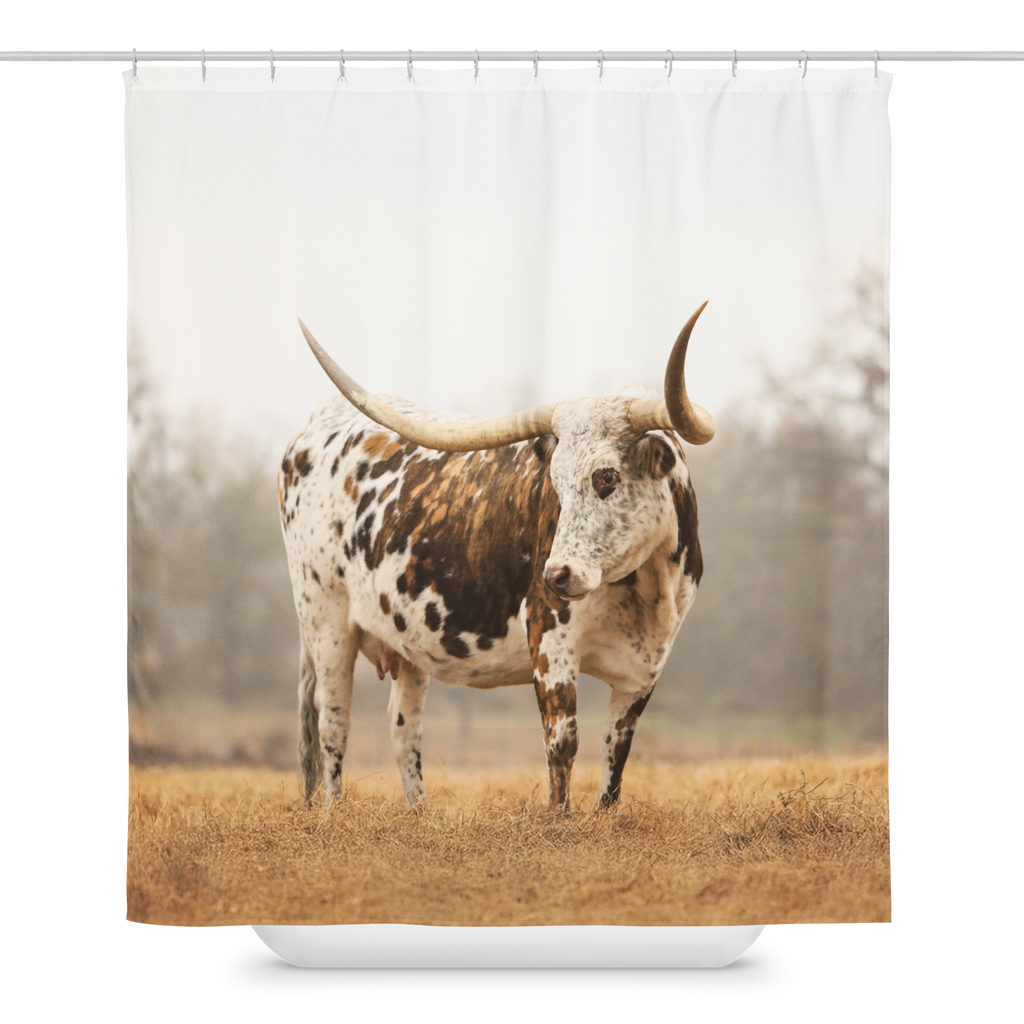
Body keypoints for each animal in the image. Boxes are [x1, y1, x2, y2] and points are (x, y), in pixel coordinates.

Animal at [279, 304, 714, 813]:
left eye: (606, 476)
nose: (556, 574)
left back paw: (419, 814)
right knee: (333, 721)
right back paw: (333, 811)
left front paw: (603, 818)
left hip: (405, 636)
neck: (646, 586)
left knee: (403, 726)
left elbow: (616, 751)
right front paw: (558, 819)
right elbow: (562, 741)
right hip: (324, 622)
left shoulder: (646, 666)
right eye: (556, 482)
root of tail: (320, 421)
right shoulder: (550, 638)